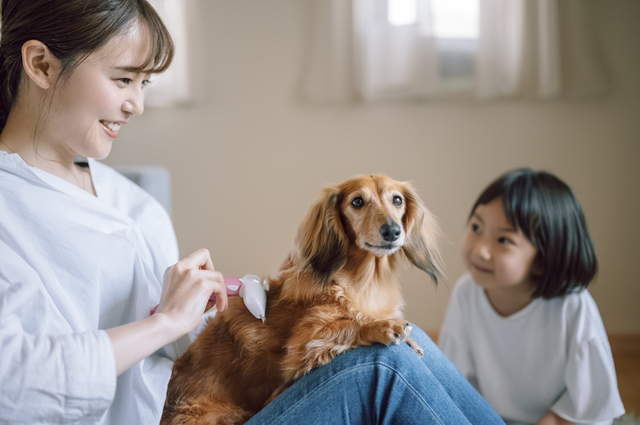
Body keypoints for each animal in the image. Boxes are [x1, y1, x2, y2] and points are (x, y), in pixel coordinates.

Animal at [160, 174, 442, 422]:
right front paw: (382, 326)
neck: (363, 281)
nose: (392, 231)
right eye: (357, 201)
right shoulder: (305, 345)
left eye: (397, 200)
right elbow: (350, 324)